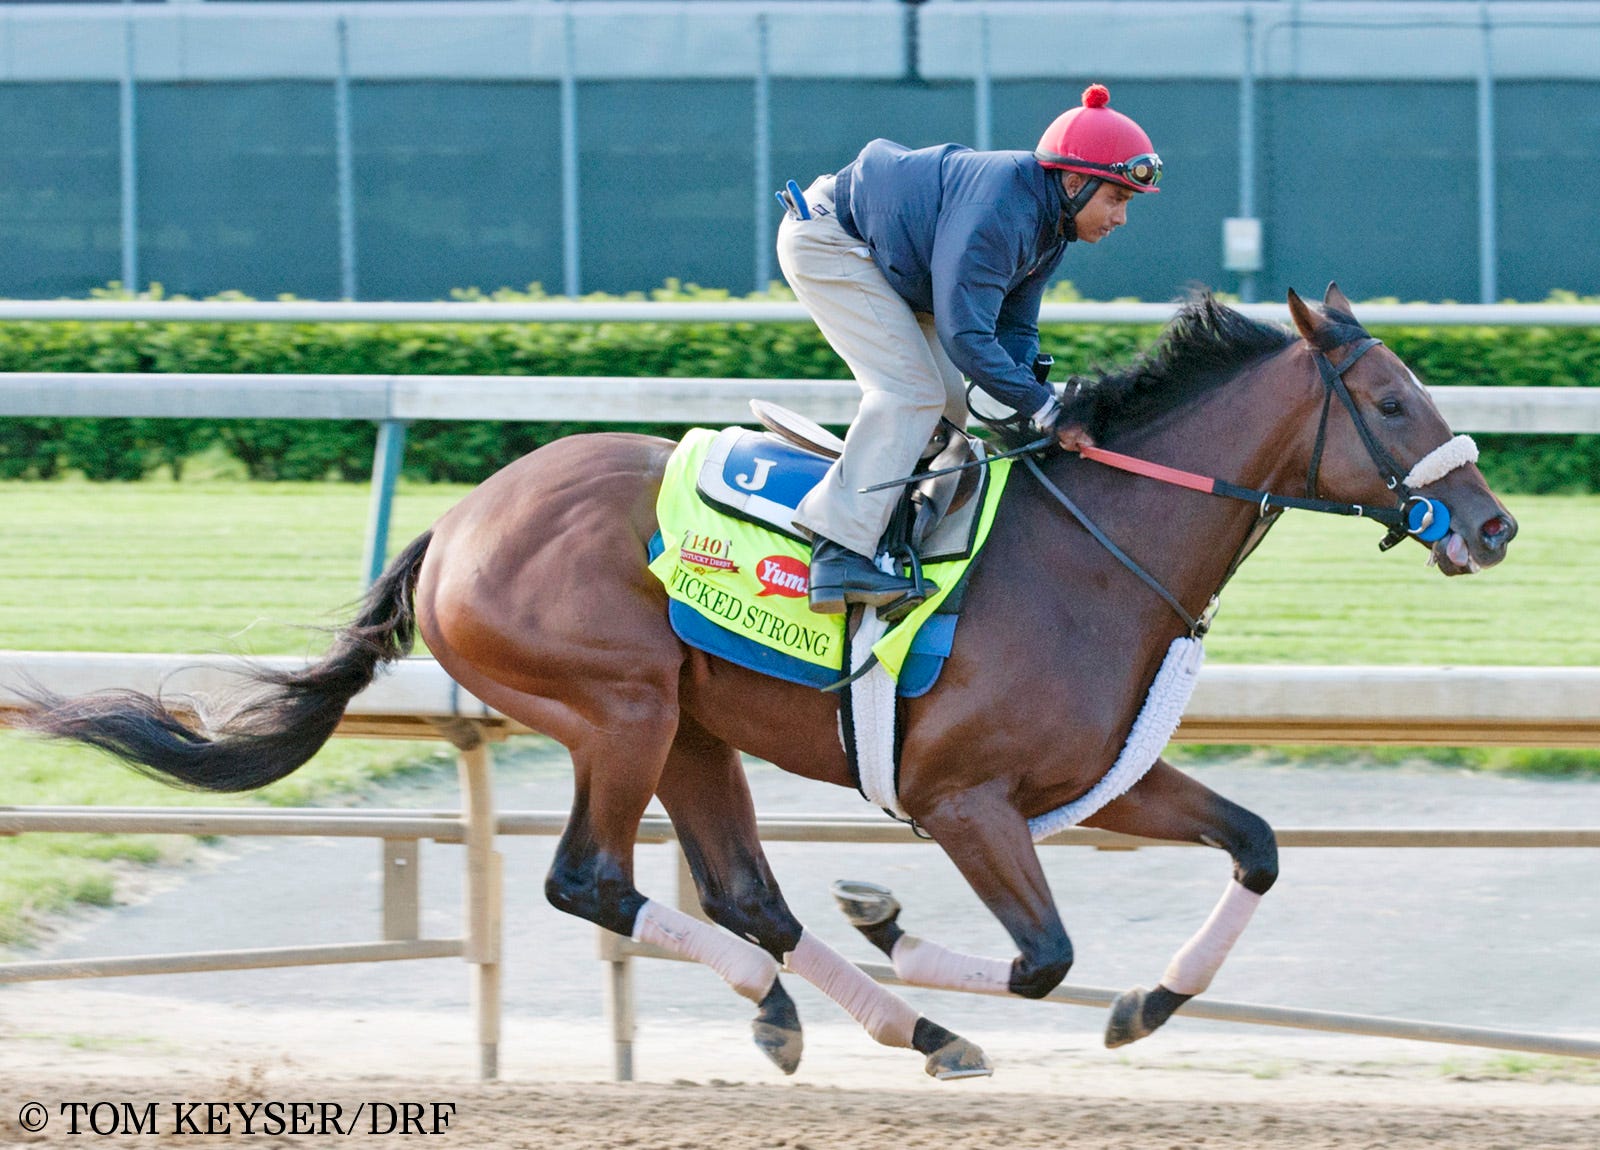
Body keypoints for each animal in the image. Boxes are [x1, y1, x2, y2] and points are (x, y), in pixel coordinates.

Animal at [21, 286, 1510, 1081]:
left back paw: (874, 1021)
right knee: (593, 880)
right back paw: (858, 1008)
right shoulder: (961, 799)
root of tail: (457, 521)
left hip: (692, 723)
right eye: (1390, 401)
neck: (1090, 551)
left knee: (746, 896)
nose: (1492, 525)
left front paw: (1149, 1005)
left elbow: (1253, 843)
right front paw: (903, 922)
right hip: (617, 709)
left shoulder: (1091, 784)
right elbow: (1043, 956)